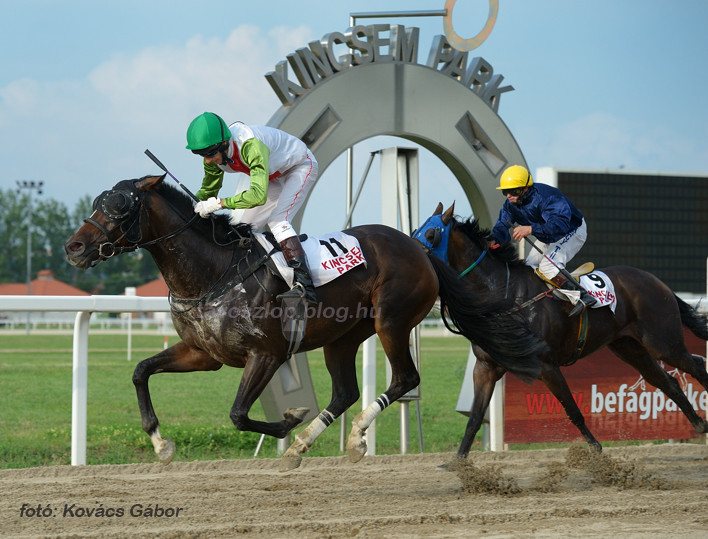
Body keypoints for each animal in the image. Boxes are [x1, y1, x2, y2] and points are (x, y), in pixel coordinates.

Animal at [412, 202, 708, 460]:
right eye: (415, 231)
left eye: (431, 233)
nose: (414, 256)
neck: (504, 296)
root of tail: (658, 281)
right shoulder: (486, 367)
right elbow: (474, 418)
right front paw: (459, 464)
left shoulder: (546, 366)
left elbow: (572, 409)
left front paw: (597, 452)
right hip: (630, 348)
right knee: (667, 382)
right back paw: (699, 424)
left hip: (663, 341)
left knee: (695, 364)